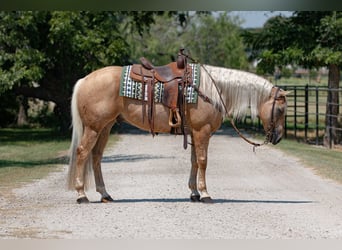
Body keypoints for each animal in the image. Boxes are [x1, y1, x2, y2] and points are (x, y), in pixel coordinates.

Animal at [67, 64, 288, 203]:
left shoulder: (195, 133)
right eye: (280, 109)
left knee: (96, 157)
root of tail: (84, 80)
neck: (213, 89)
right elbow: (203, 161)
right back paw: (81, 195)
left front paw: (194, 193)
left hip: (105, 127)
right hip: (94, 128)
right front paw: (205, 194)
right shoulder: (202, 131)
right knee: (82, 153)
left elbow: (194, 161)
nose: (278, 138)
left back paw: (105, 194)